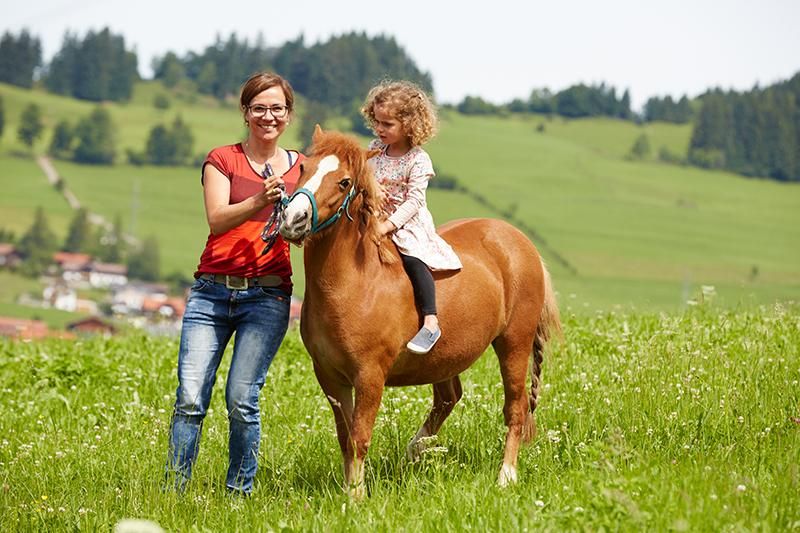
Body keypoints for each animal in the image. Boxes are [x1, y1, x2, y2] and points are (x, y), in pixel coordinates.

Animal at [282, 127, 564, 496]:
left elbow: (359, 437)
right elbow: (345, 438)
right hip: (445, 356)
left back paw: (506, 476)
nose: (293, 220)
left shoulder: (370, 376)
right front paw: (349, 489)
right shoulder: (329, 376)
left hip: (514, 343)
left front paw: (356, 497)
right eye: (303, 168)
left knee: (515, 408)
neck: (355, 284)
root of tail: (521, 241)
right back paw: (415, 451)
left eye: (344, 182)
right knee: (449, 398)